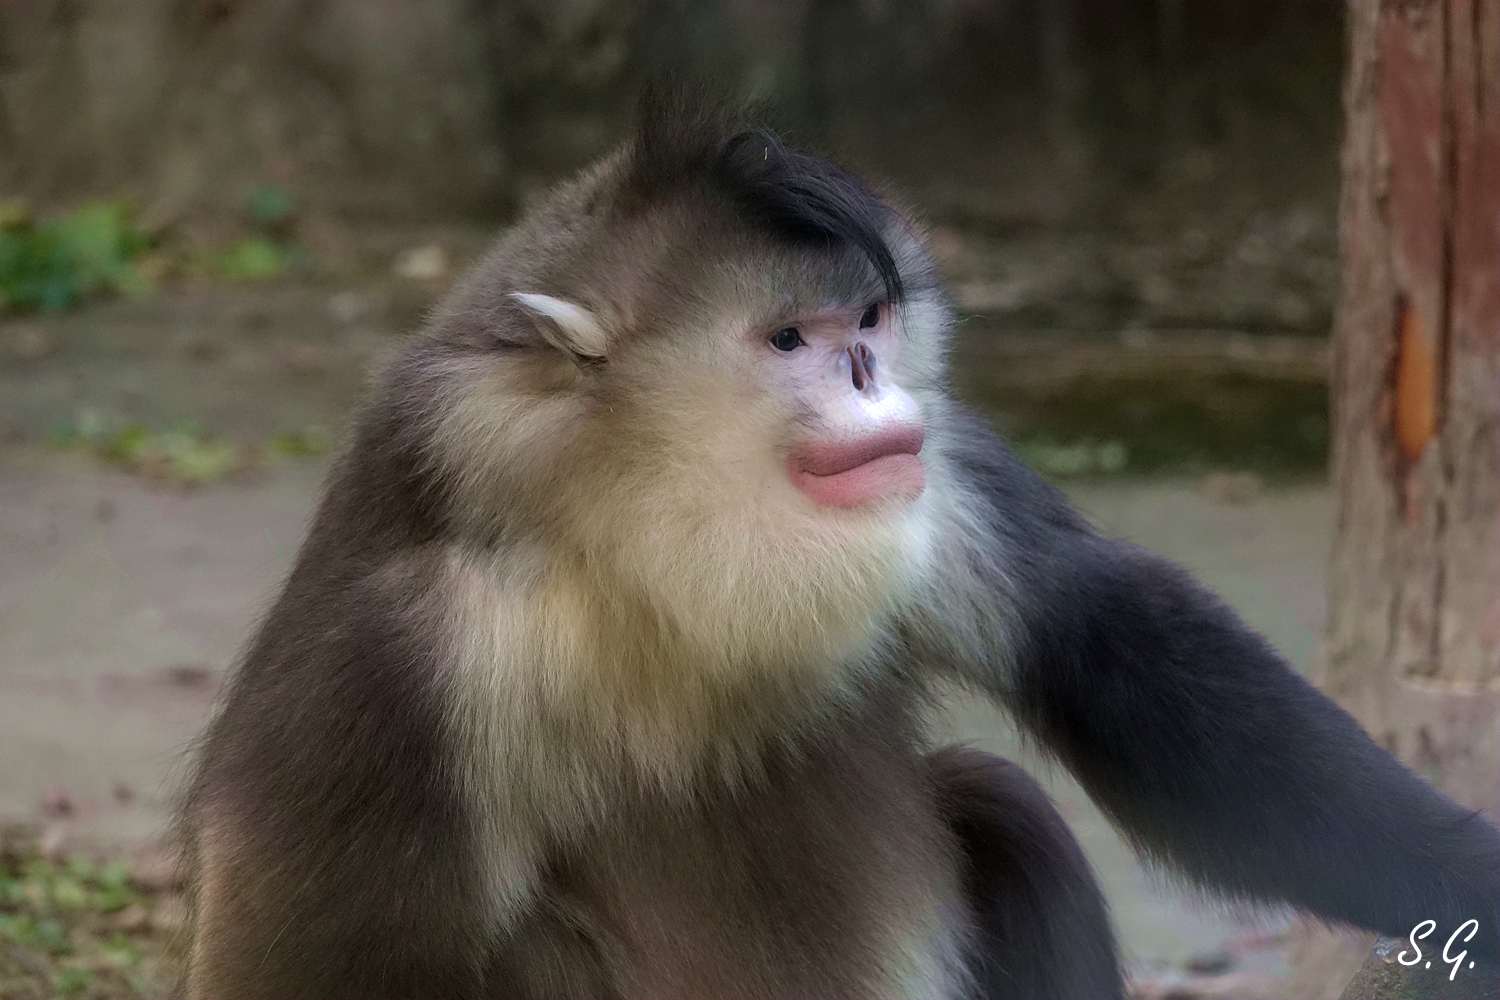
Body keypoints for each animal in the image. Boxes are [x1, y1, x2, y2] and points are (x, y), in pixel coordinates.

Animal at [181, 91, 1500, 1000]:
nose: (870, 376)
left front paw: (1465, 876)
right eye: (789, 340)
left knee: (1000, 802)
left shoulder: (926, 471)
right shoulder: (398, 656)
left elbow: (1098, 632)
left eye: (866, 323)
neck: (636, 549)